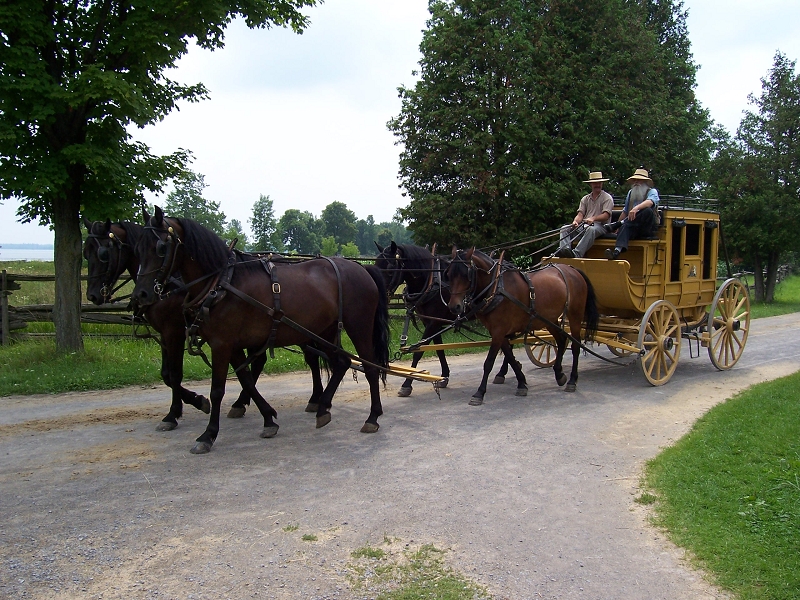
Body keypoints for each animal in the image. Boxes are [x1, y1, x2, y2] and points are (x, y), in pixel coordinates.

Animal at [83, 219, 325, 431]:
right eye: (86, 252)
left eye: (103, 253)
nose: (92, 295)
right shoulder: (166, 334)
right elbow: (166, 373)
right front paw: (187, 405)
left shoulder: (174, 331)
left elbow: (174, 374)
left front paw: (182, 409)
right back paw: (244, 403)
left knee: (310, 358)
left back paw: (314, 399)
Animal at [132, 206, 389, 454]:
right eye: (138, 248)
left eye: (161, 247)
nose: (141, 295)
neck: (221, 284)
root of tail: (361, 268)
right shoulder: (232, 345)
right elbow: (246, 380)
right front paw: (268, 419)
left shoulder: (220, 344)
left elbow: (217, 390)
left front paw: (208, 435)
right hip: (325, 330)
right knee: (342, 363)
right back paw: (323, 408)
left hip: (358, 325)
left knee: (370, 367)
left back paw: (372, 416)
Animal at [374, 241, 522, 397]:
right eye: (376, 266)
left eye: (390, 270)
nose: (379, 295)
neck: (431, 280)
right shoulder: (431, 322)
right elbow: (439, 349)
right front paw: (444, 376)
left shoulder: (433, 322)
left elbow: (419, 351)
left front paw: (407, 384)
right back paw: (505, 371)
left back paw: (504, 372)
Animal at [443, 247, 599, 405]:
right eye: (449, 274)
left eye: (466, 275)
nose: (454, 307)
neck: (497, 288)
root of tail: (573, 269)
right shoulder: (498, 332)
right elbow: (511, 358)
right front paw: (522, 383)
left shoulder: (499, 331)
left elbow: (489, 362)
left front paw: (479, 393)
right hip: (549, 319)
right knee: (561, 341)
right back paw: (559, 374)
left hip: (575, 316)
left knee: (575, 346)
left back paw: (572, 380)